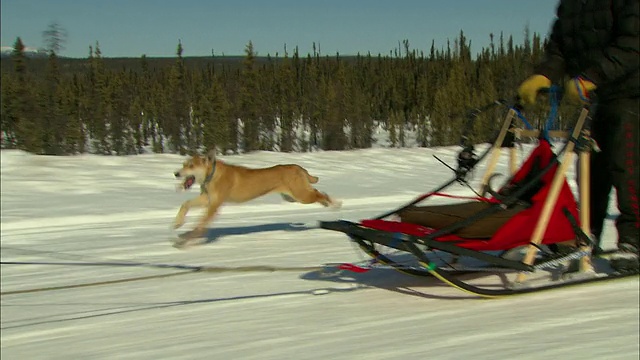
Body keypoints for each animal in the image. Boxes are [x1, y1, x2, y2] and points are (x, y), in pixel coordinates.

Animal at [170, 148, 340, 238]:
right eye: (184, 164)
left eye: (191, 166)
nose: (176, 173)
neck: (211, 174)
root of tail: (298, 167)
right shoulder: (207, 199)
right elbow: (185, 204)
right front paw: (178, 222)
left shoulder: (214, 204)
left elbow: (201, 222)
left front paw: (188, 239)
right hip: (293, 196)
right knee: (317, 193)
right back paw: (328, 204)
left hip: (301, 195)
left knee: (319, 193)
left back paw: (335, 204)